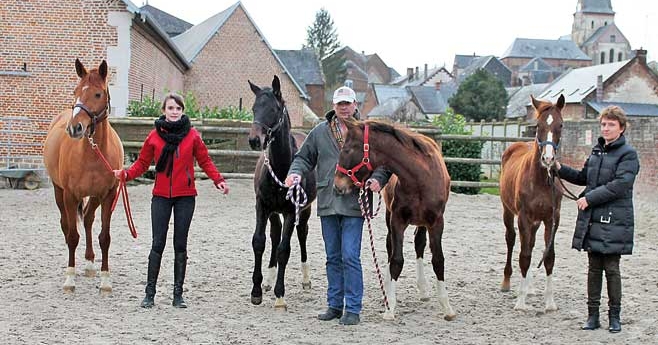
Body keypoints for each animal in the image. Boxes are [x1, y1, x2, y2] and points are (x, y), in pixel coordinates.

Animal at [43, 59, 123, 292]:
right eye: (75, 91)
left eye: (98, 94)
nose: (74, 128)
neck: (92, 153)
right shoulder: (70, 195)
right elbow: (72, 236)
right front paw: (69, 278)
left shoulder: (108, 195)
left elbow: (105, 237)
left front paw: (105, 280)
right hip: (59, 192)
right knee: (66, 225)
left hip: (94, 197)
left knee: (87, 218)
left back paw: (89, 263)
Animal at [247, 75, 316, 310]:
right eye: (254, 108)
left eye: (274, 109)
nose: (254, 140)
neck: (280, 169)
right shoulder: (262, 206)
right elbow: (259, 242)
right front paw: (256, 291)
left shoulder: (290, 211)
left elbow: (284, 249)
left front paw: (280, 296)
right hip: (273, 212)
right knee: (274, 234)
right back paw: (268, 280)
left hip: (304, 210)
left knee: (302, 234)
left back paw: (305, 279)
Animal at [334, 117, 456, 320]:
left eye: (347, 149)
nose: (337, 186)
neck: (419, 178)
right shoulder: (397, 220)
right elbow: (396, 259)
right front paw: (390, 306)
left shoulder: (436, 222)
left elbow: (438, 260)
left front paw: (447, 307)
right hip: (389, 216)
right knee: (390, 247)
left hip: (422, 223)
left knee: (419, 244)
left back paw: (423, 289)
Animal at [498, 92, 564, 310]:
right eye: (538, 125)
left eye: (561, 125)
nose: (548, 159)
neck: (541, 179)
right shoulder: (524, 217)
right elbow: (524, 256)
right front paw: (520, 301)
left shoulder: (552, 219)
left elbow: (549, 256)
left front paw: (550, 302)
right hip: (508, 211)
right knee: (511, 239)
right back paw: (507, 282)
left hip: (536, 221)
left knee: (532, 243)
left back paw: (530, 287)